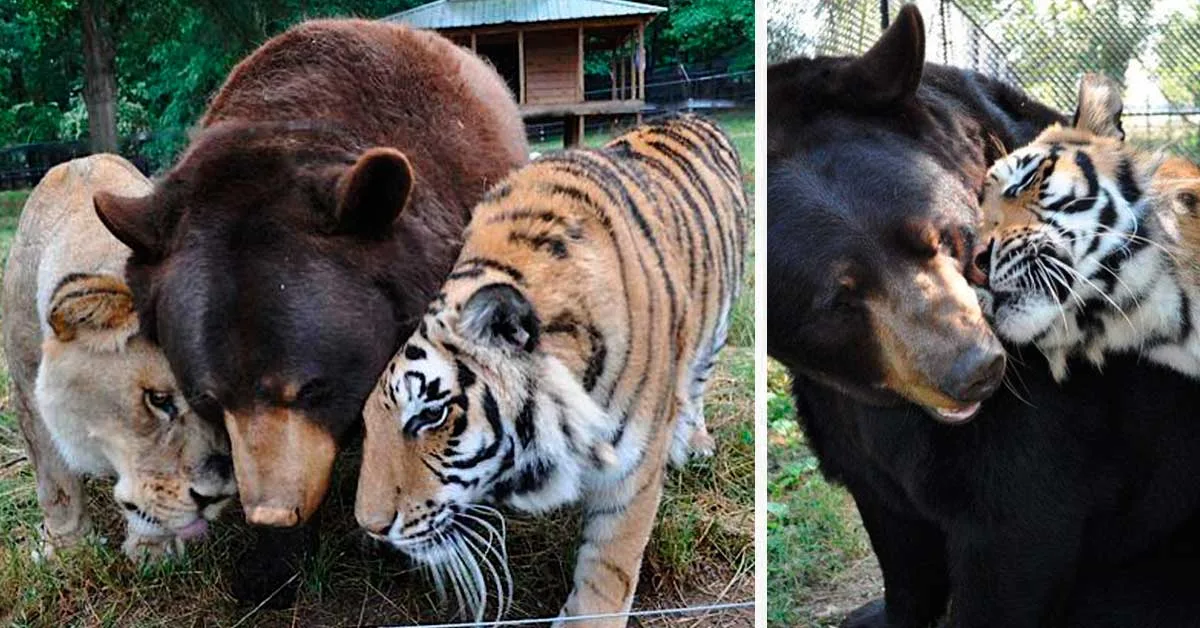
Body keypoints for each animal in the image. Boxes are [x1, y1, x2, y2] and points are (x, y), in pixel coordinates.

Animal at [1, 154, 237, 561]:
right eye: (158, 399)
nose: (216, 496)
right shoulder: (26, 387)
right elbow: (55, 482)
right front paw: (67, 549)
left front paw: (153, 550)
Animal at [354, 113, 747, 626]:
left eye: (430, 415)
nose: (371, 527)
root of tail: (692, 115)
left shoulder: (632, 473)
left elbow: (607, 571)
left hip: (718, 324)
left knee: (696, 381)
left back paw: (695, 441)